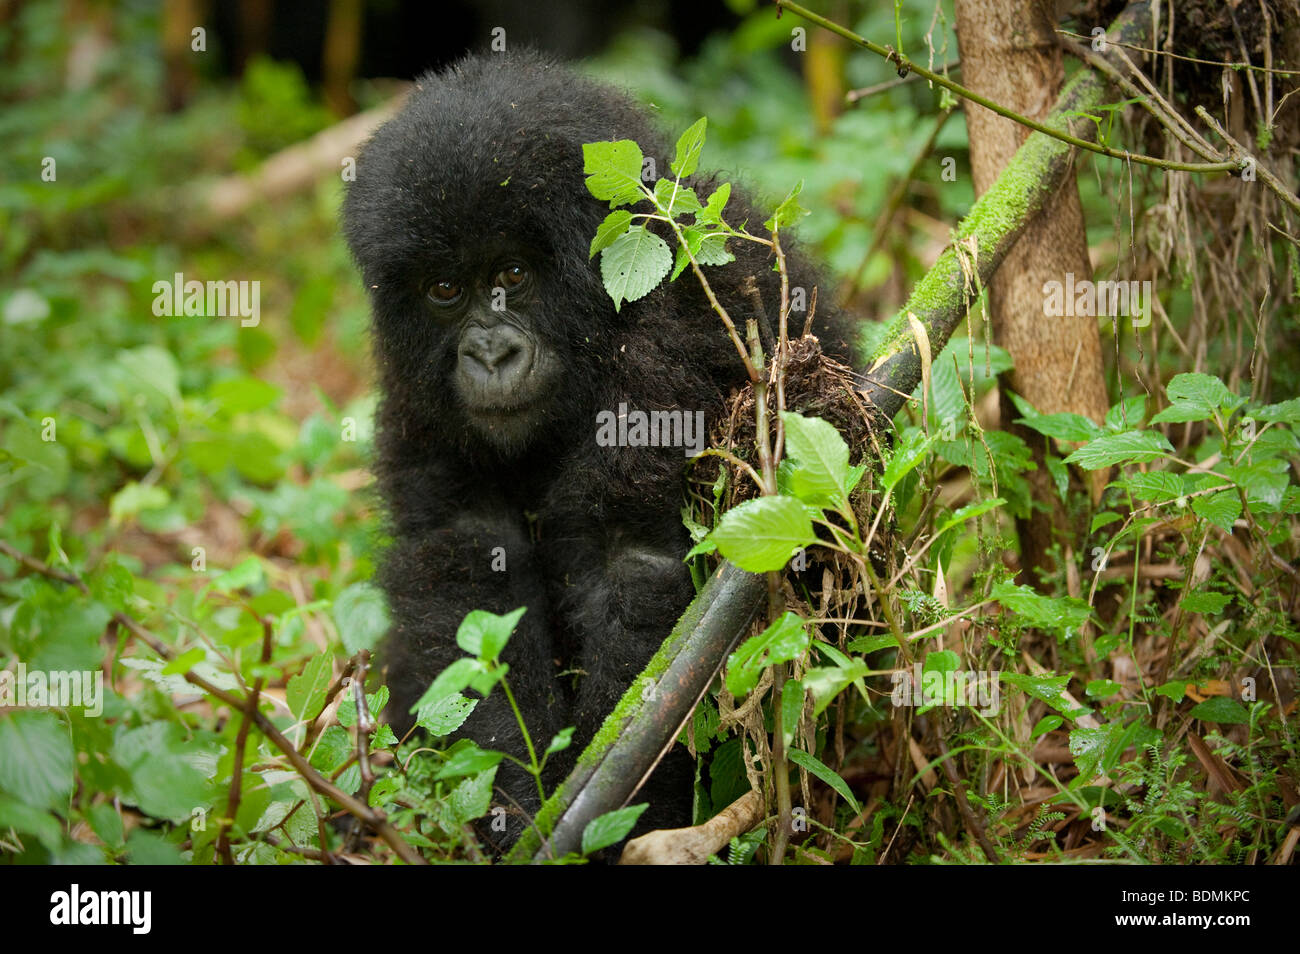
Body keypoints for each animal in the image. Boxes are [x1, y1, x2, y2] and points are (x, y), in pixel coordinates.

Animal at [340, 48, 847, 847]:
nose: (490, 355)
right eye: (444, 289)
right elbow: (464, 560)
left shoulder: (670, 338)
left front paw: (597, 821)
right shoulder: (416, 394)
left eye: (514, 274)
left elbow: (634, 569)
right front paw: (513, 809)